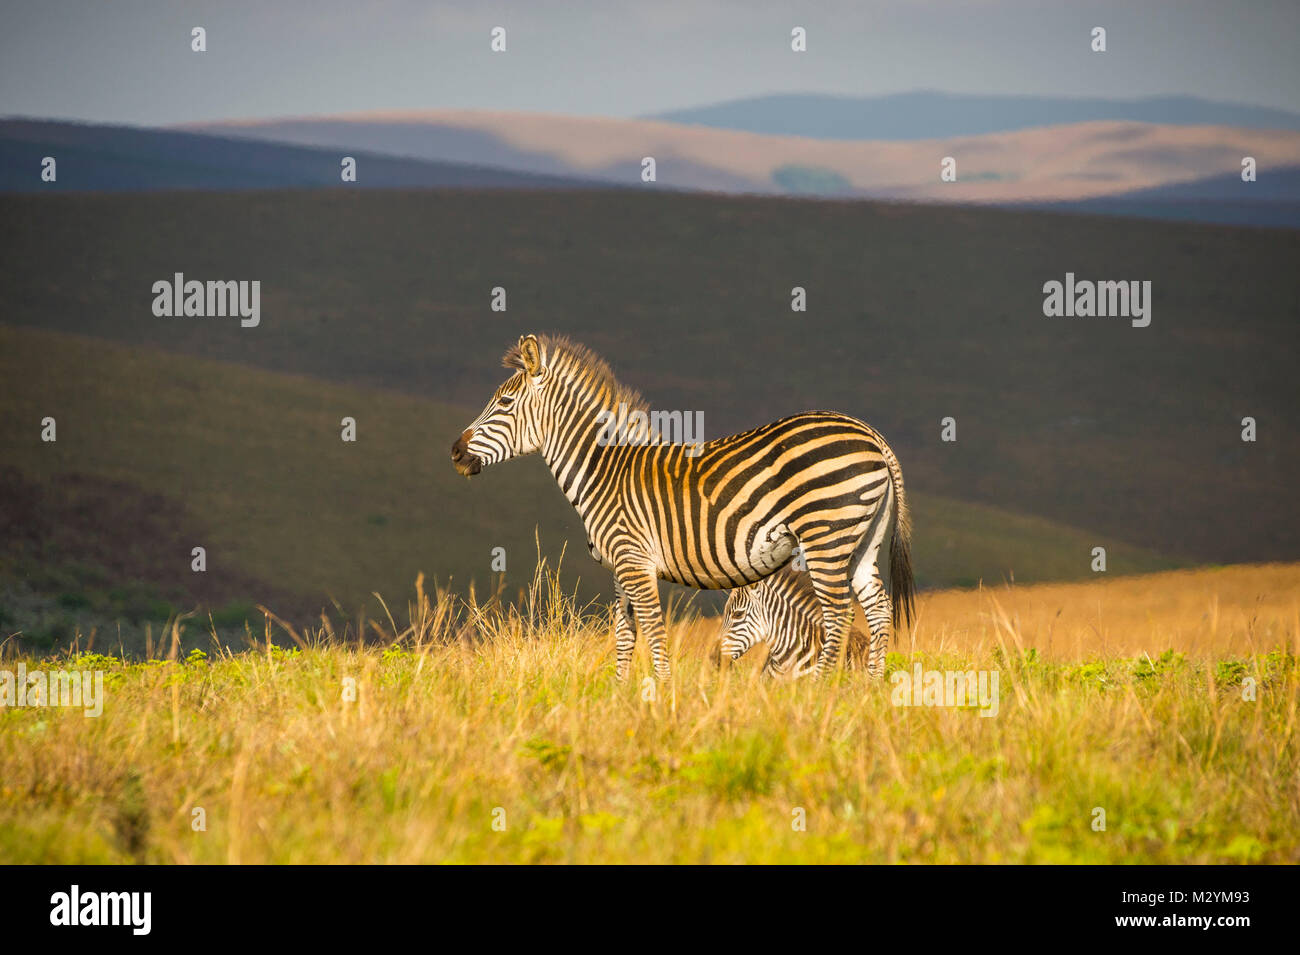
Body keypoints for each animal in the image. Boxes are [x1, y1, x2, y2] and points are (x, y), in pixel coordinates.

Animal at [449, 335, 915, 680]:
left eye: (504, 404)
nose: (455, 452)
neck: (602, 470)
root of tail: (873, 435)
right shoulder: (620, 568)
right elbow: (624, 635)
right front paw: (621, 697)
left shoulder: (635, 561)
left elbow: (655, 633)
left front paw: (661, 698)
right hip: (861, 541)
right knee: (878, 611)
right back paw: (868, 693)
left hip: (826, 536)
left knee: (837, 614)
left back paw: (820, 692)